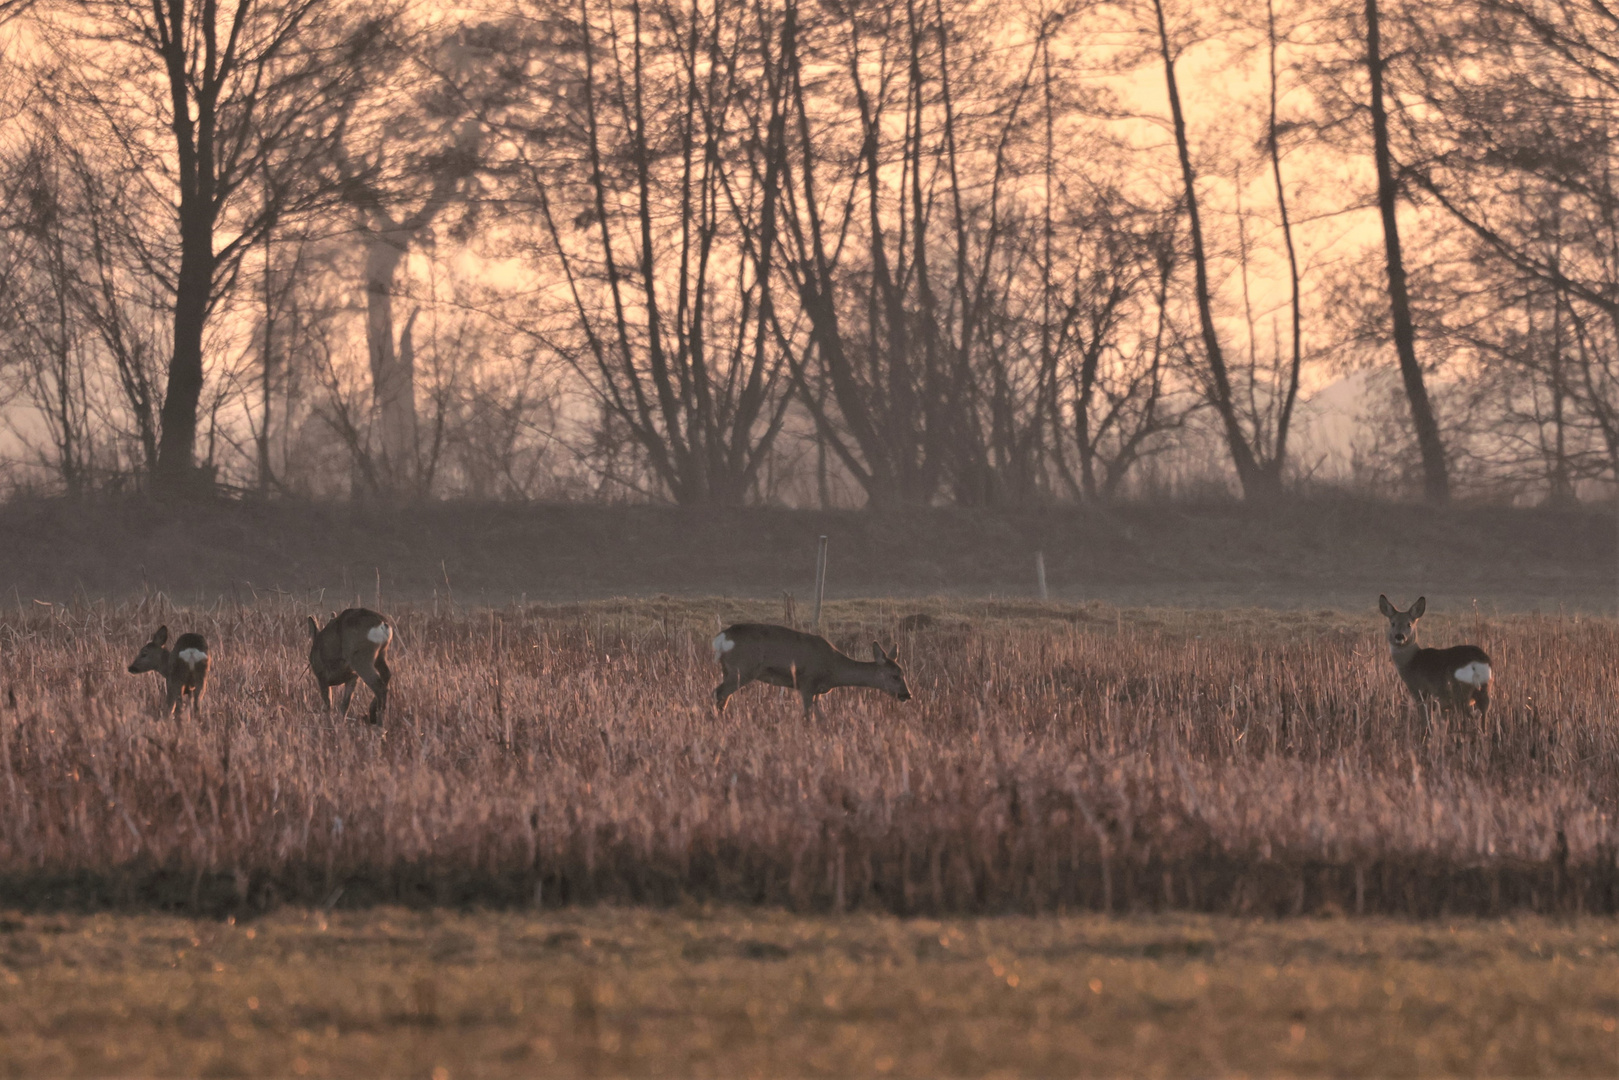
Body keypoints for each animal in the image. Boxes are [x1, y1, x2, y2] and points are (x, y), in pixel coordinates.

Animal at [712, 621, 913, 722]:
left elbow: (820, 716)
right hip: (742, 669)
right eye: (895, 676)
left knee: (722, 696)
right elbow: (808, 715)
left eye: (904, 673)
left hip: (729, 670)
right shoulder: (807, 683)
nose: (907, 694)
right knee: (718, 692)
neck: (833, 668)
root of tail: (721, 638)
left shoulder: (818, 691)